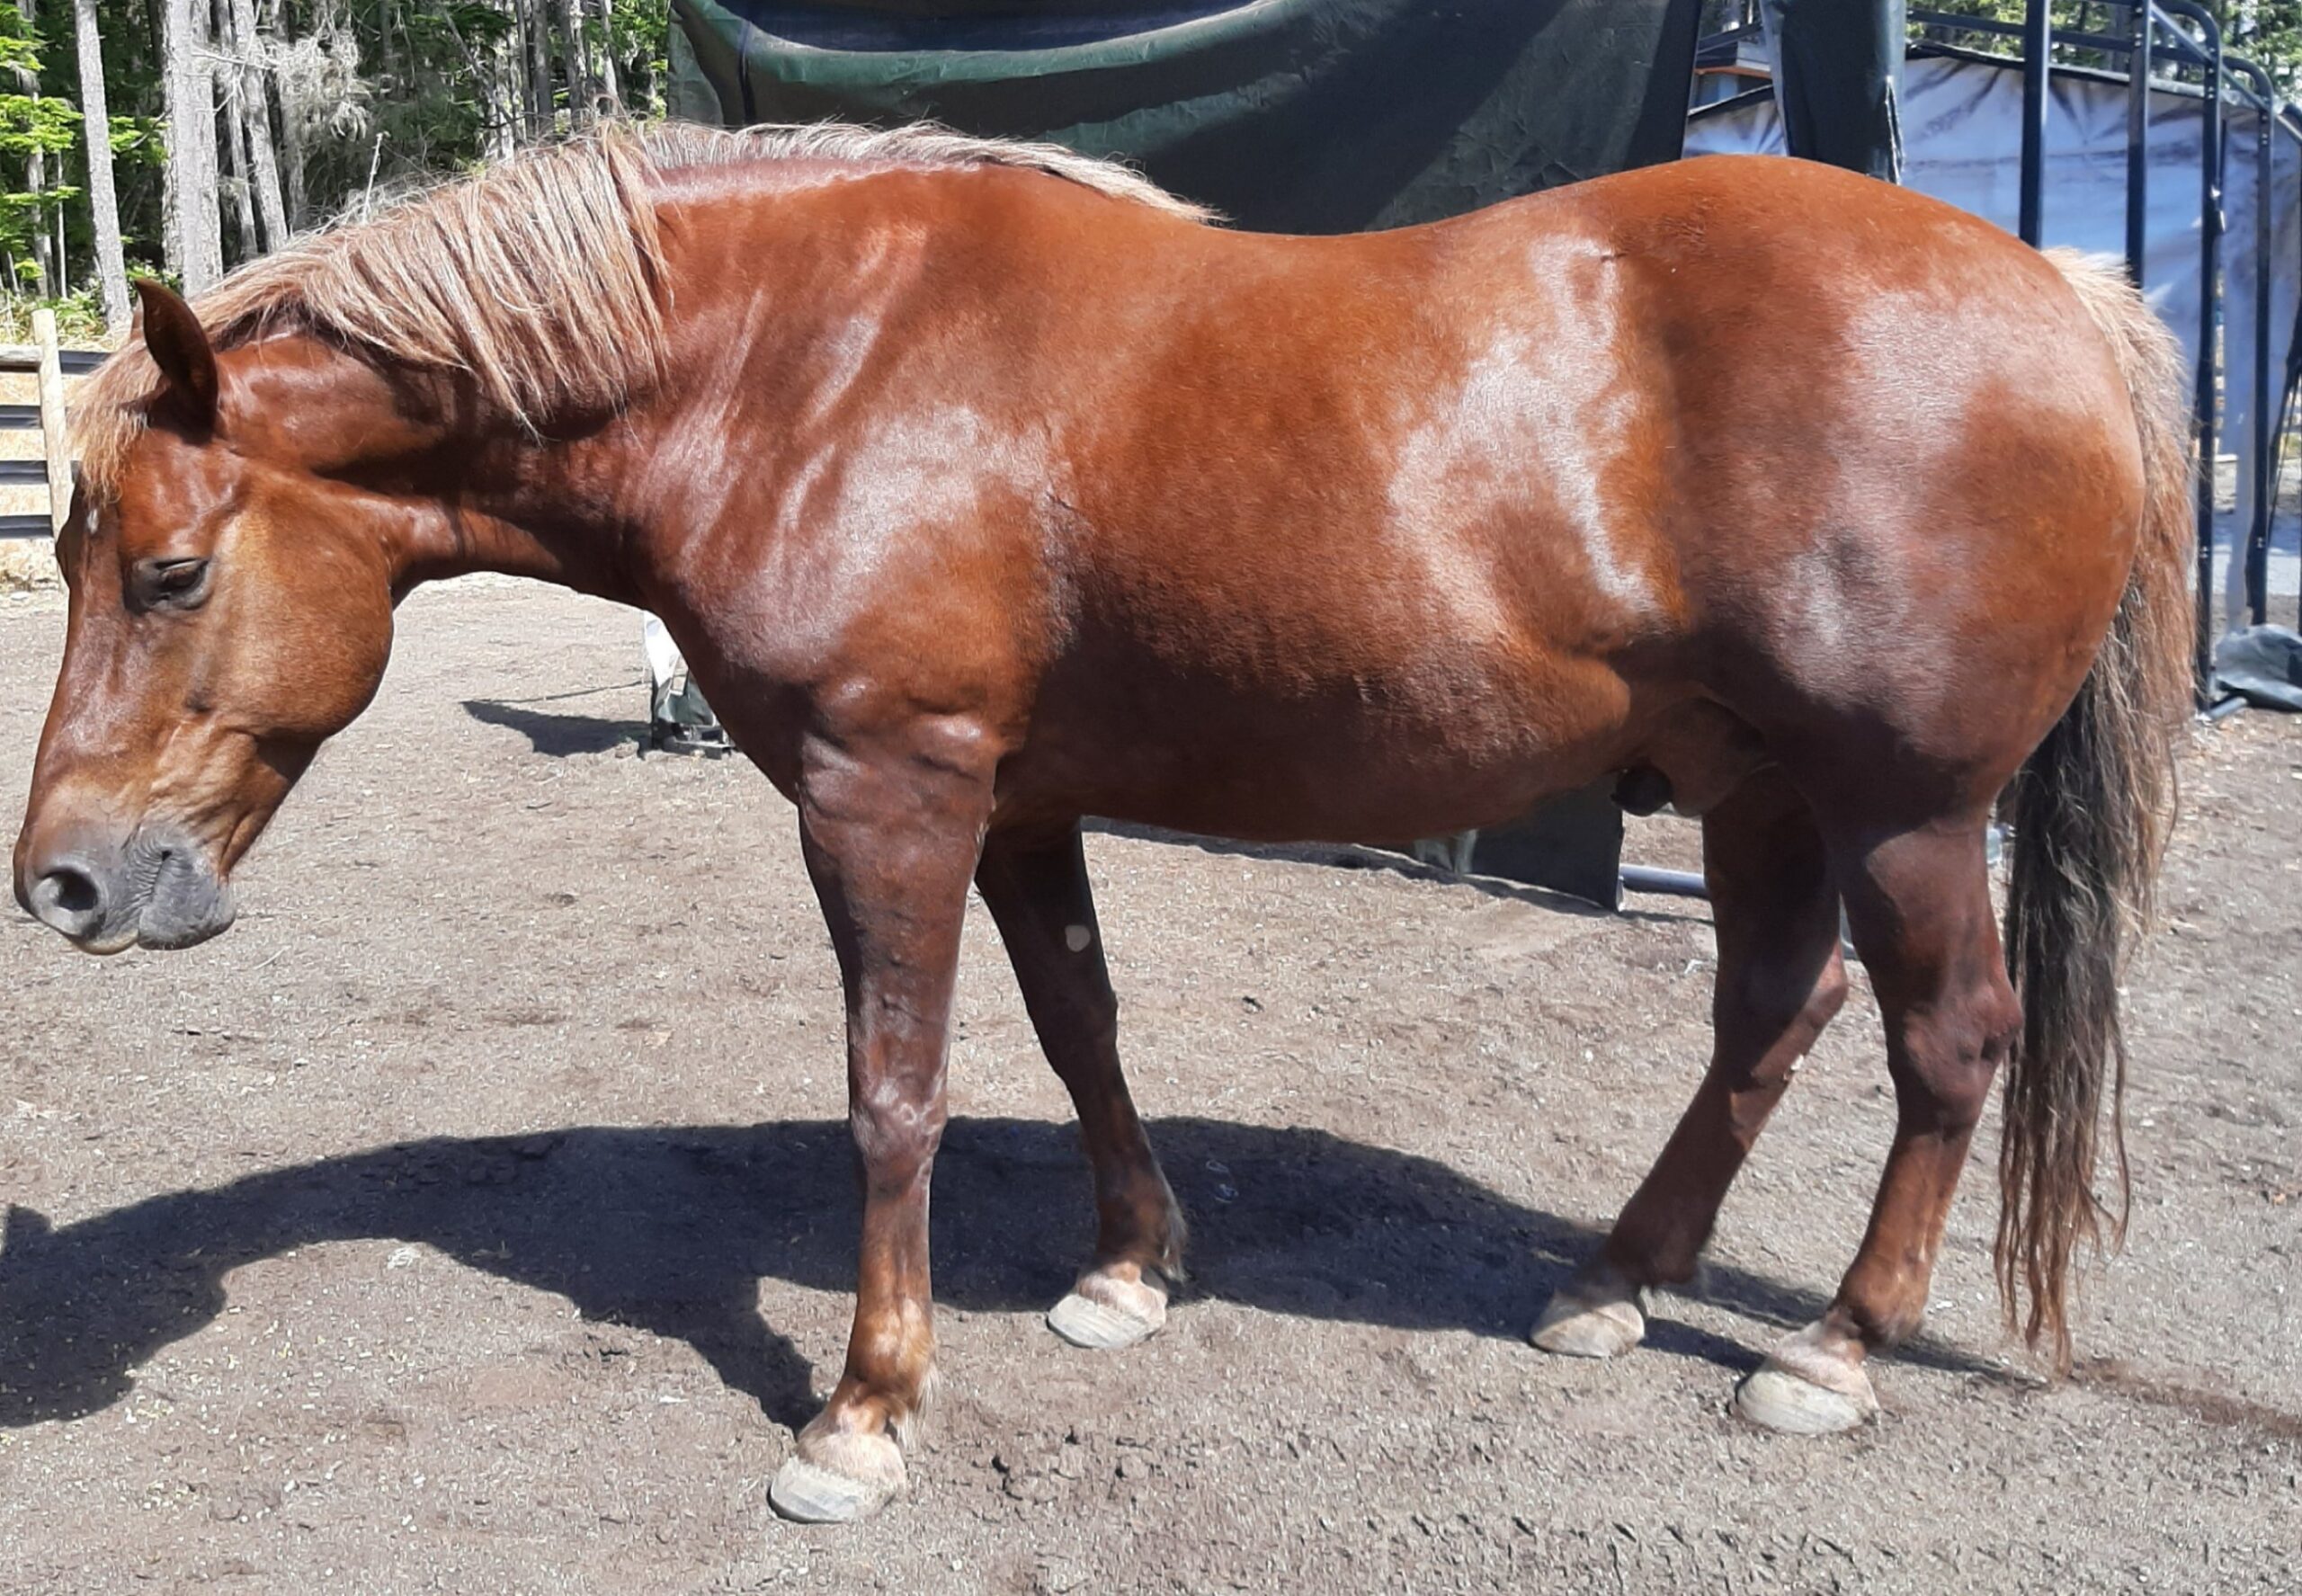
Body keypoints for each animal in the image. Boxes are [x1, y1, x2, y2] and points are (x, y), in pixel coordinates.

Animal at [14, 122, 2191, 1523]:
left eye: (171, 573)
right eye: (83, 558)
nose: (66, 882)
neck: (805, 366)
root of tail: (2058, 289)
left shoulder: (885, 790)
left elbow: (897, 1088)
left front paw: (864, 1409)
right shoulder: (1017, 798)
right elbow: (1078, 1029)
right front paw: (1129, 1270)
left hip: (1904, 808)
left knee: (1945, 1043)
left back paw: (1830, 1348)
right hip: (1756, 789)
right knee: (1767, 1017)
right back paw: (1608, 1283)